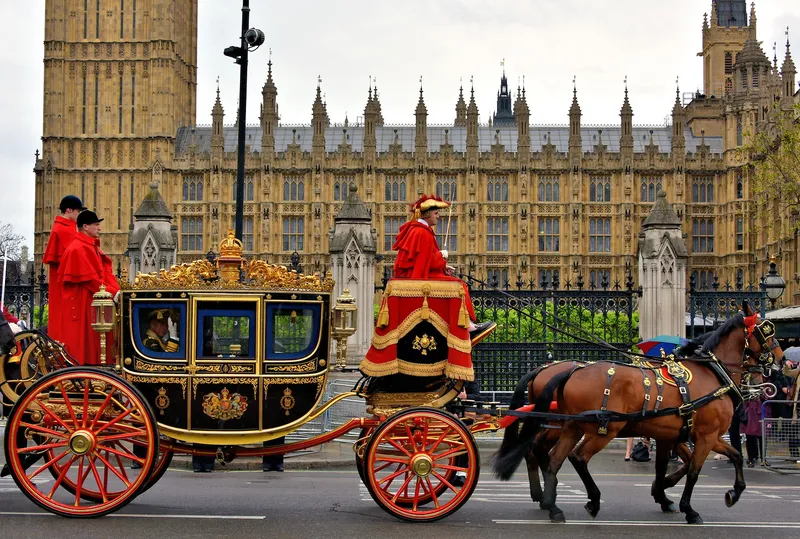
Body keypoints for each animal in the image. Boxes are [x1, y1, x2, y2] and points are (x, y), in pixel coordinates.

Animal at [494, 306, 780, 524]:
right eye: (767, 332)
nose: (776, 361)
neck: (712, 374)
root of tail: (563, 371)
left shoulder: (682, 434)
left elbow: (725, 457)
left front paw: (669, 492)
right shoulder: (705, 435)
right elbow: (694, 470)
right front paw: (688, 508)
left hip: (570, 426)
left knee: (551, 456)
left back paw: (552, 505)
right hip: (602, 429)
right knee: (573, 456)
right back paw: (586, 500)